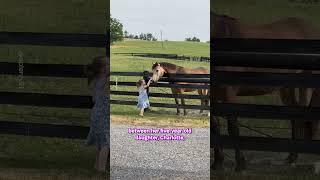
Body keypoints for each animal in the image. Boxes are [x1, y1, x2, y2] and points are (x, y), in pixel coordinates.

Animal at [211, 13, 318, 172]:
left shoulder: (228, 94)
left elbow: (233, 128)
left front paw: (240, 165)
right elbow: (215, 127)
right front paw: (217, 163)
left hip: (305, 85)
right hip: (287, 87)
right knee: (294, 117)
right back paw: (290, 158)